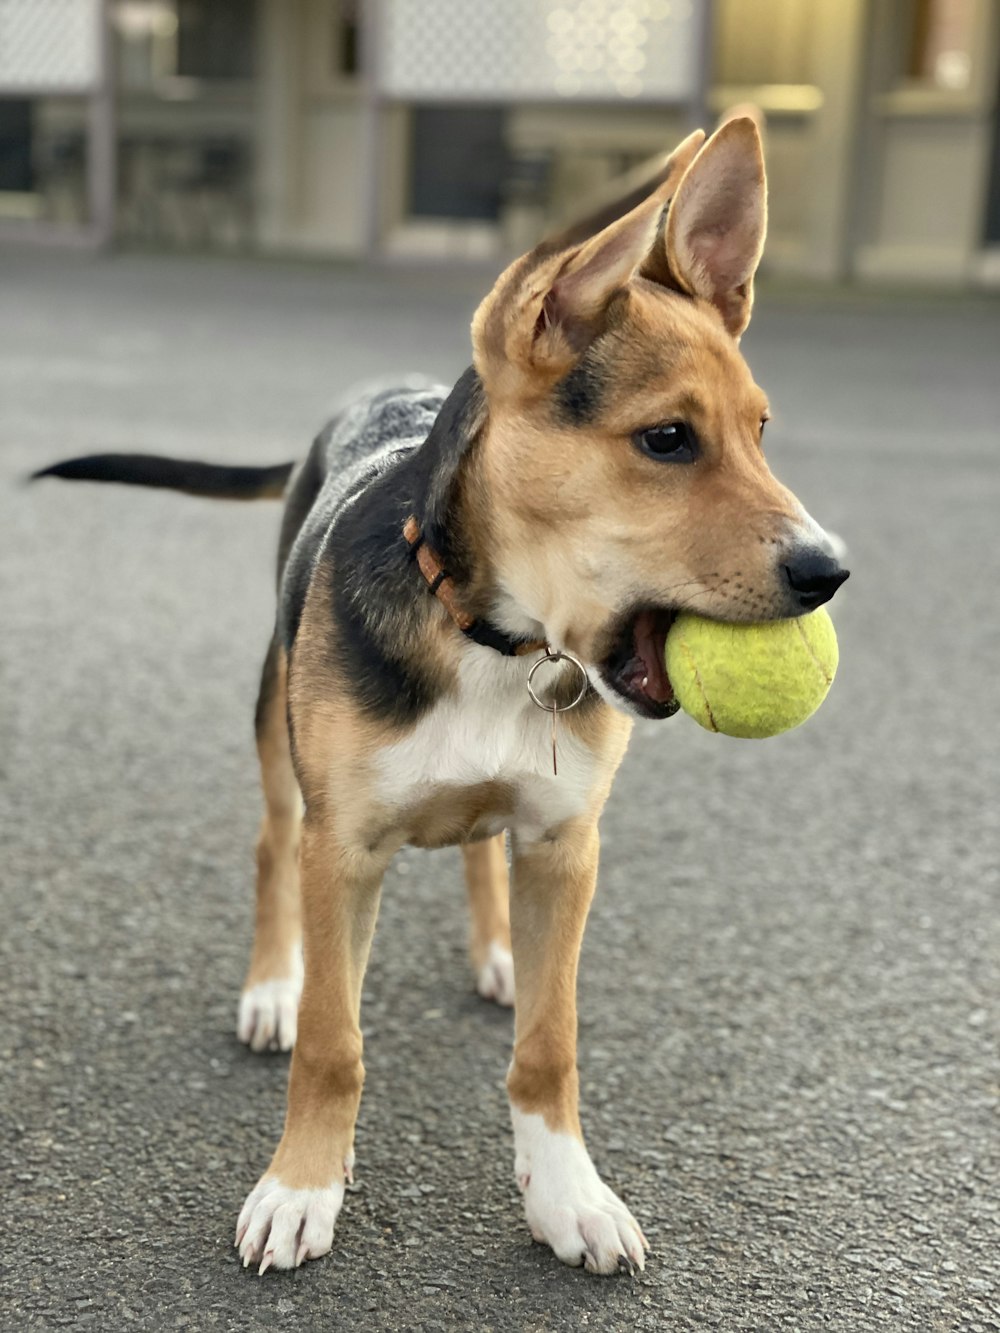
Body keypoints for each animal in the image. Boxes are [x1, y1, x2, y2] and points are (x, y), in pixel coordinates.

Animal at [37, 119, 853, 1274]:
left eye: (761, 430)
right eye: (665, 439)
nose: (829, 572)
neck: (491, 639)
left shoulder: (564, 843)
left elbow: (549, 1046)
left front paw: (566, 1193)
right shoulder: (343, 847)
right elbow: (334, 1039)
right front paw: (301, 1184)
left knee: (476, 851)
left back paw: (498, 951)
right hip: (276, 732)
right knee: (270, 848)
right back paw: (271, 984)